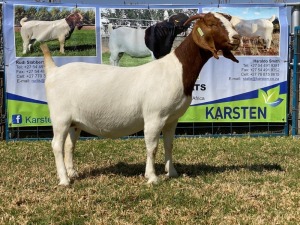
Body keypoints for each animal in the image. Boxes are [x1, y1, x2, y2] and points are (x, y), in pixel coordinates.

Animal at [40, 12, 241, 185]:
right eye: (212, 24)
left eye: (229, 21)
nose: (237, 38)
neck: (176, 70)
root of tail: (53, 71)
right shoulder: (154, 117)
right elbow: (152, 147)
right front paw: (152, 177)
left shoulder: (172, 119)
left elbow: (169, 144)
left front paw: (172, 172)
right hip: (60, 117)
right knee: (57, 145)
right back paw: (64, 180)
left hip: (75, 122)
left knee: (69, 145)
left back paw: (73, 172)